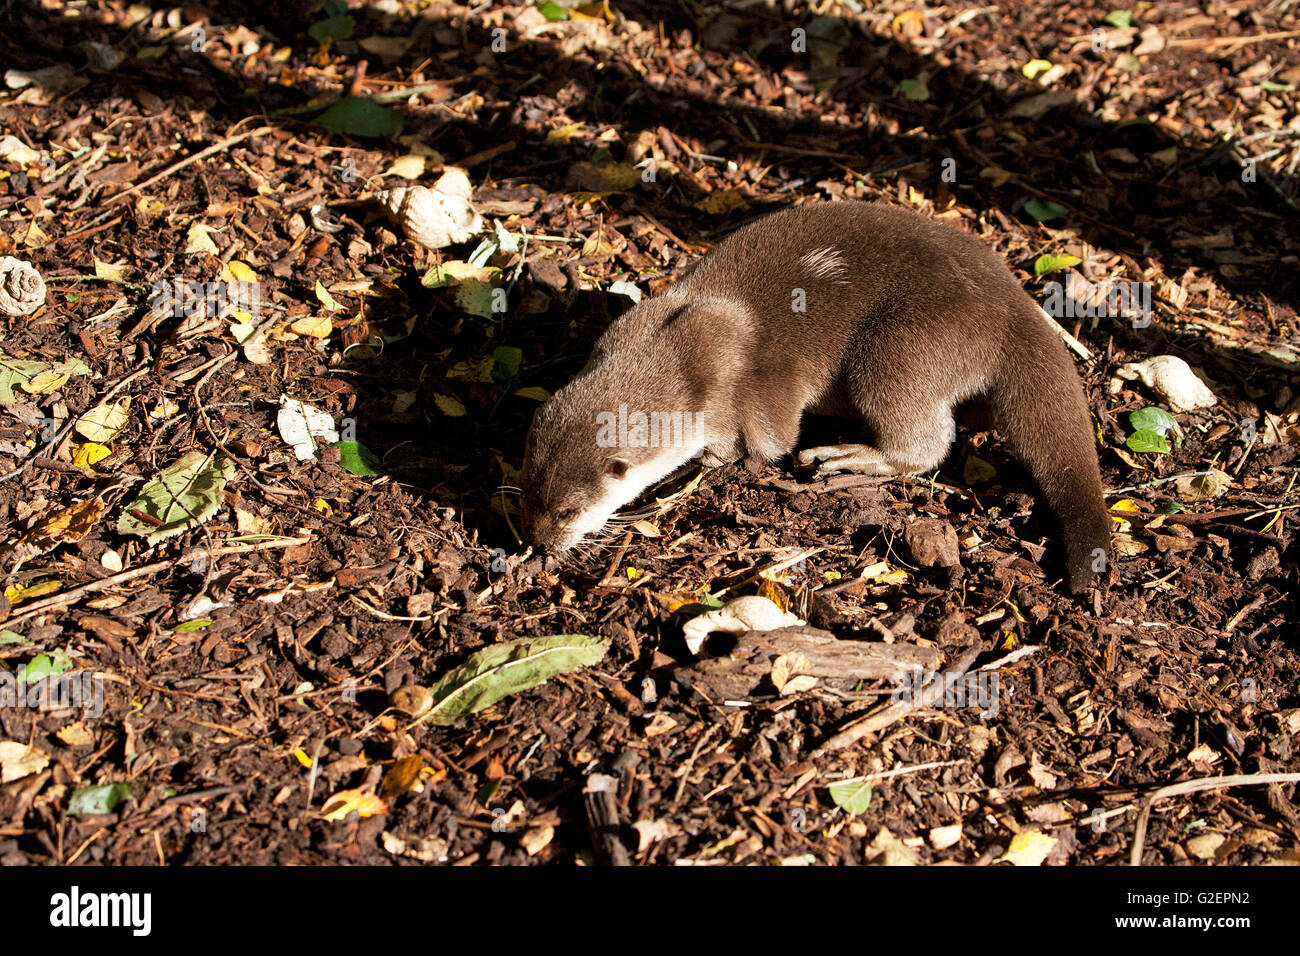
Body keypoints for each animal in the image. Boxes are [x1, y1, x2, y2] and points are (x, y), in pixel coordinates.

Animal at [520, 201, 1111, 593]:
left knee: (926, 443)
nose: (539, 542)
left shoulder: (749, 383)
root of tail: (1014, 307)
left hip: (901, 347)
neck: (676, 351)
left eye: (569, 511)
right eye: (528, 497)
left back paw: (847, 458)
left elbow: (766, 436)